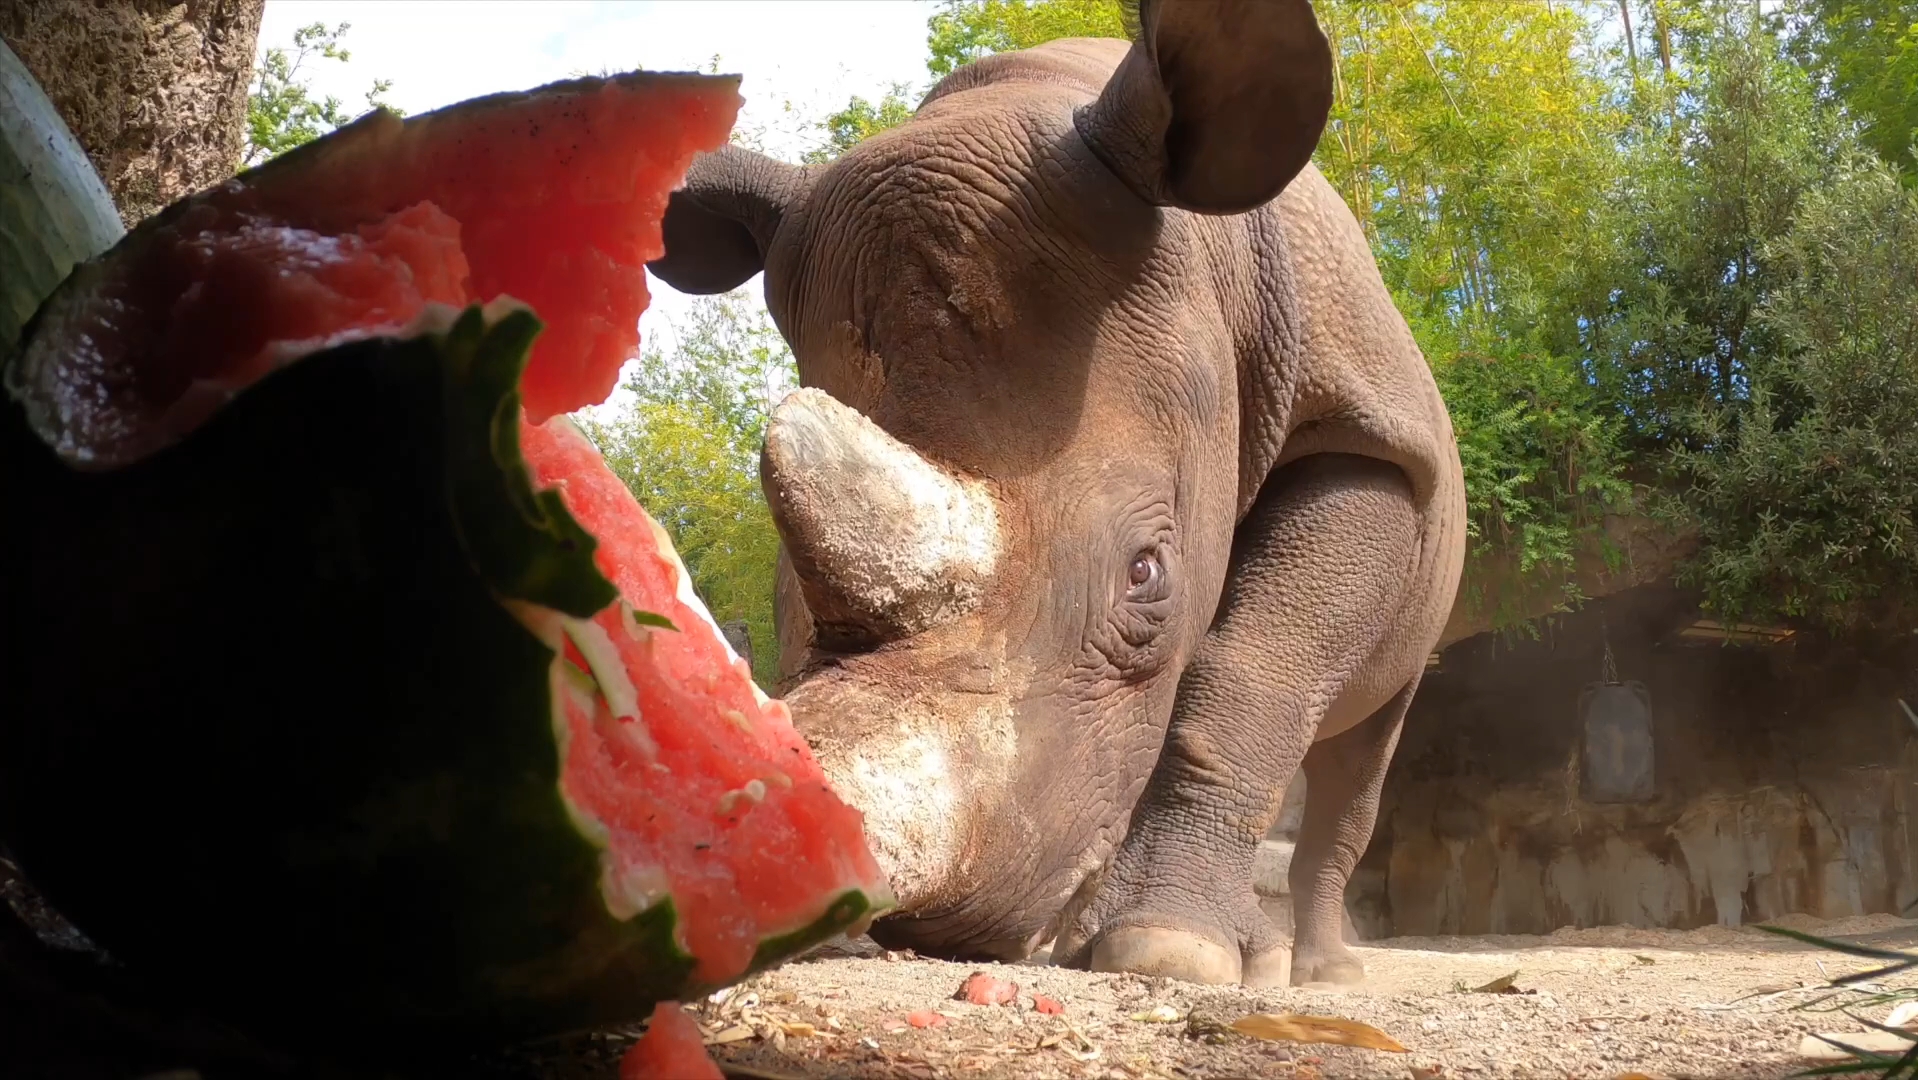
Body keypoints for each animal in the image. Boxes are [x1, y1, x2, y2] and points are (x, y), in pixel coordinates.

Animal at [648, 0, 1465, 989]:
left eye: (1147, 574)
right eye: (786, 601)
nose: (953, 922)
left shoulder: (1372, 439)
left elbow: (1252, 670)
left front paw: (1173, 949)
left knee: (1364, 744)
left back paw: (1323, 970)